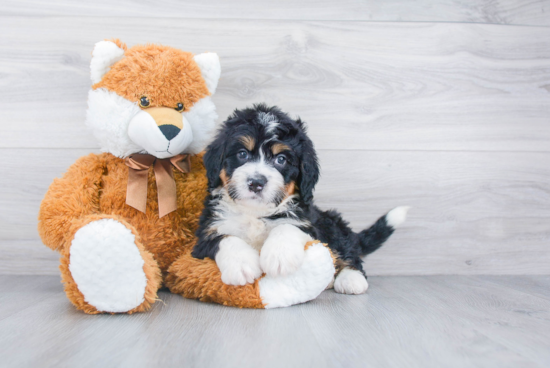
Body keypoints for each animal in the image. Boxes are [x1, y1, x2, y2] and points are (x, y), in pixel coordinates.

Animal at [192, 105, 408, 294]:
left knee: (347, 250)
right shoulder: (205, 233)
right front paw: (242, 264)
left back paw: (351, 278)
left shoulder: (308, 223)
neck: (255, 213)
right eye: (242, 154)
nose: (256, 182)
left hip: (330, 223)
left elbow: (287, 225)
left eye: (281, 159)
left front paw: (279, 255)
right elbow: (225, 238)